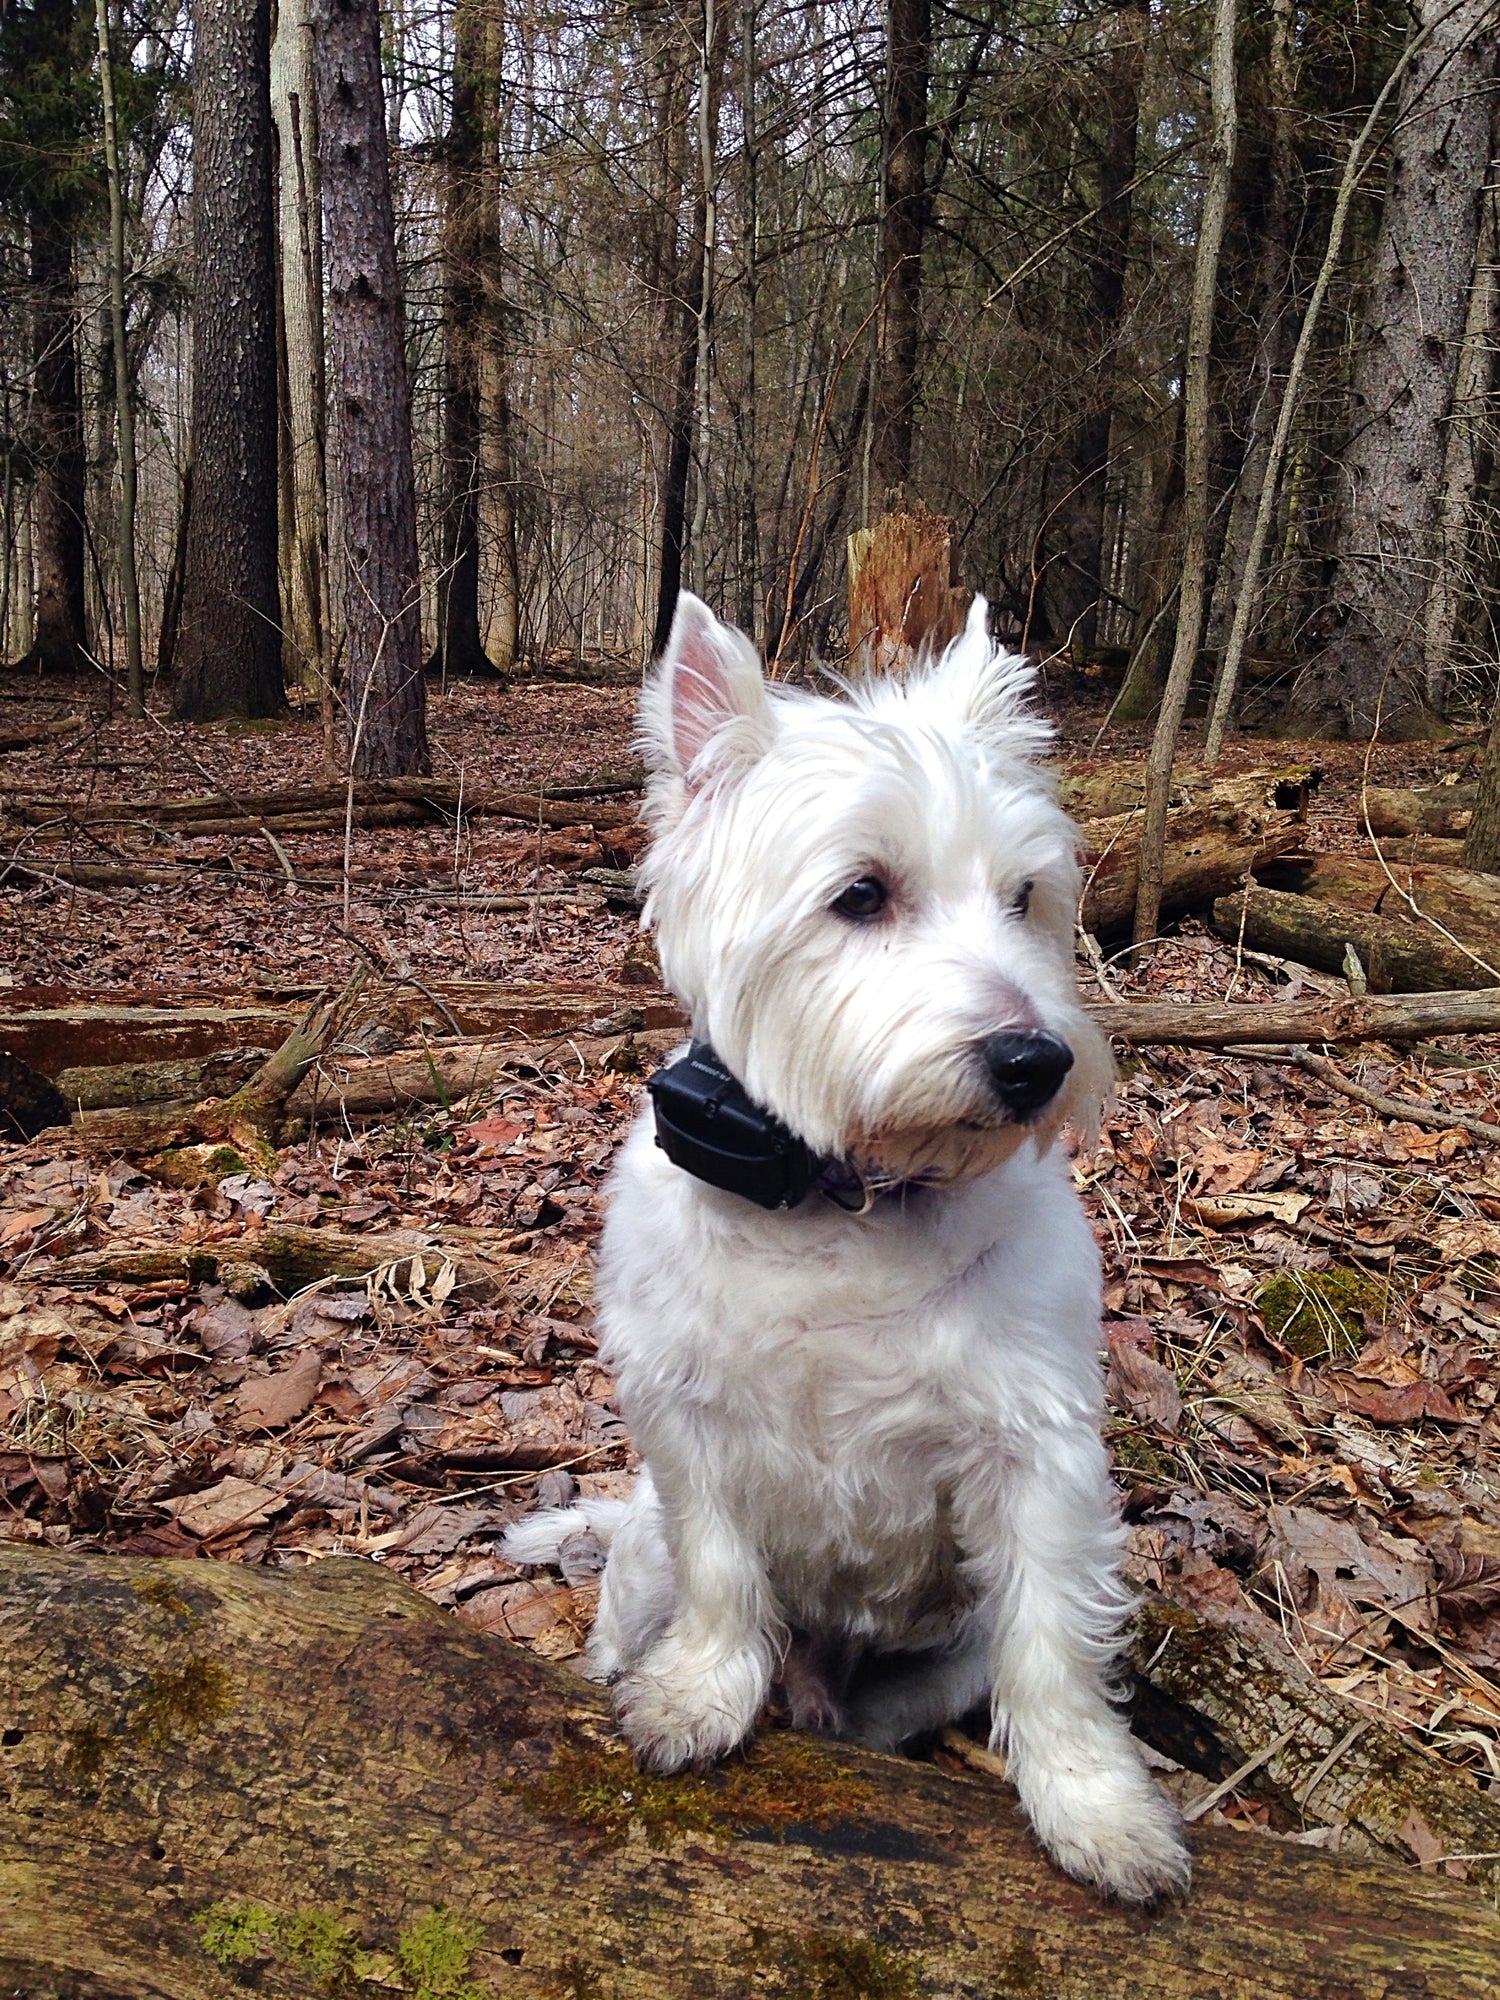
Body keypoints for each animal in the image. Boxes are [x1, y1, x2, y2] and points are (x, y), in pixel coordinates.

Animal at [512, 584, 1192, 1896]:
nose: (1036, 1061)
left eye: (1026, 897)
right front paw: (694, 1696)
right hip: (641, 1552)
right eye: (862, 894)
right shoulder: (688, 1417)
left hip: (944, 1645)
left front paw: (1099, 1809)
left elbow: (1054, 1649)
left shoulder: (1040, 1453)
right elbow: (725, 1571)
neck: (843, 1196)